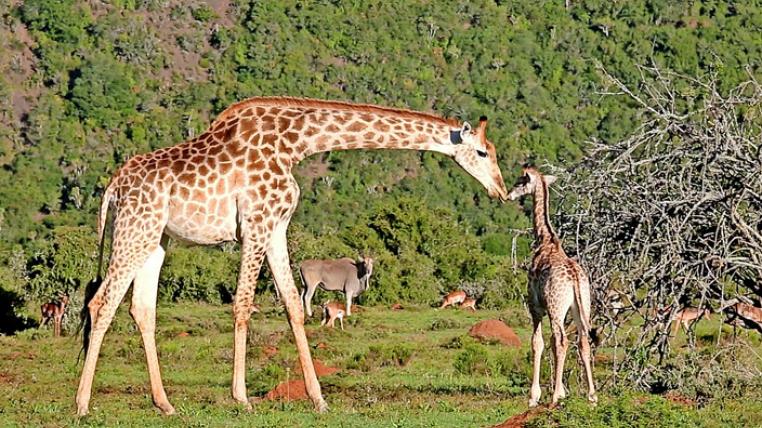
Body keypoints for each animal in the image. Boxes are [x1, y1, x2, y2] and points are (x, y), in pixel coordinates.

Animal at [75, 97, 509, 416]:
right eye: (482, 152)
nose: (501, 191)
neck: (295, 143)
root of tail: (114, 185)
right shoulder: (256, 223)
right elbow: (243, 304)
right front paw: (242, 398)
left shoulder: (277, 227)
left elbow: (294, 306)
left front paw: (319, 399)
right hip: (135, 228)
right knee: (101, 302)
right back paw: (81, 404)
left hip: (156, 238)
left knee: (141, 308)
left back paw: (164, 404)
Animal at [507, 165, 596, 407]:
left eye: (520, 182)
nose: (508, 195)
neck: (545, 239)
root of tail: (575, 278)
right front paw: (562, 391)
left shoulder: (535, 306)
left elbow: (537, 342)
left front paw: (535, 396)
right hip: (581, 307)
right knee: (583, 341)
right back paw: (592, 396)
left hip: (557, 308)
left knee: (562, 341)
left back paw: (555, 397)